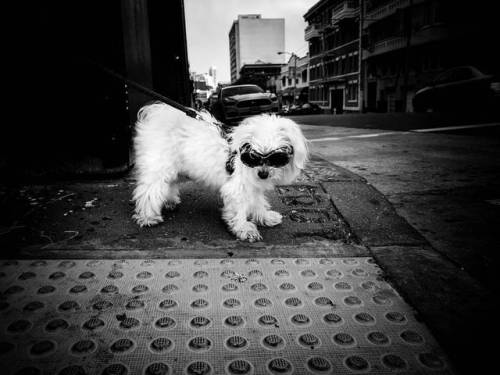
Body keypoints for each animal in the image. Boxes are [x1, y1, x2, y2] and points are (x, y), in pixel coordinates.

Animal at [131, 103, 306, 242]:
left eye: (277, 158)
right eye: (253, 156)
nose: (263, 174)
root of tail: (157, 114)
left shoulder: (253, 186)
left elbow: (257, 203)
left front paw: (264, 217)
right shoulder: (237, 188)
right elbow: (239, 210)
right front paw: (244, 229)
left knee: (168, 184)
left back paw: (169, 201)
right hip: (158, 167)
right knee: (148, 191)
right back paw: (148, 217)